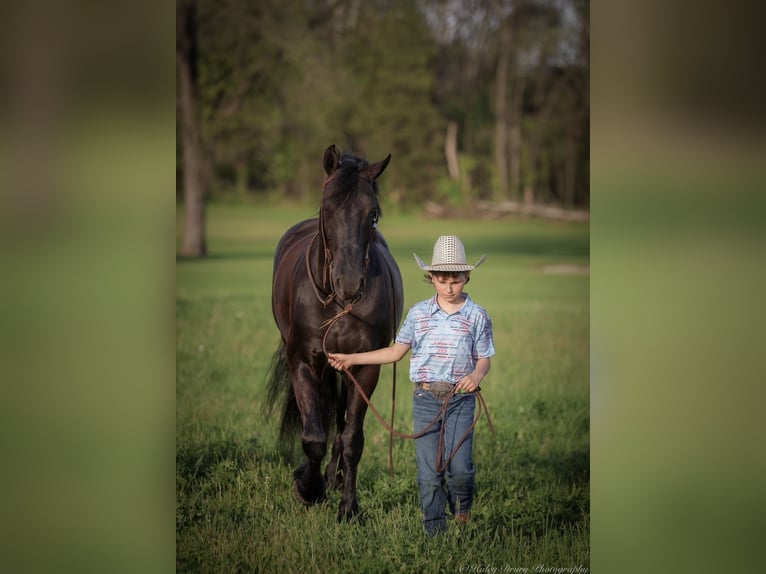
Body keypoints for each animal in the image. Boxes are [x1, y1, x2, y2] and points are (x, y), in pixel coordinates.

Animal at [268, 144, 404, 520]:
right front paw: (308, 488)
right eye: (328, 208)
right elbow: (313, 435)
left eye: (372, 214)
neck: (336, 303)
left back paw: (335, 476)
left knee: (342, 423)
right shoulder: (303, 361)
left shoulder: (365, 366)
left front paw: (348, 507)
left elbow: (352, 438)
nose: (350, 283)